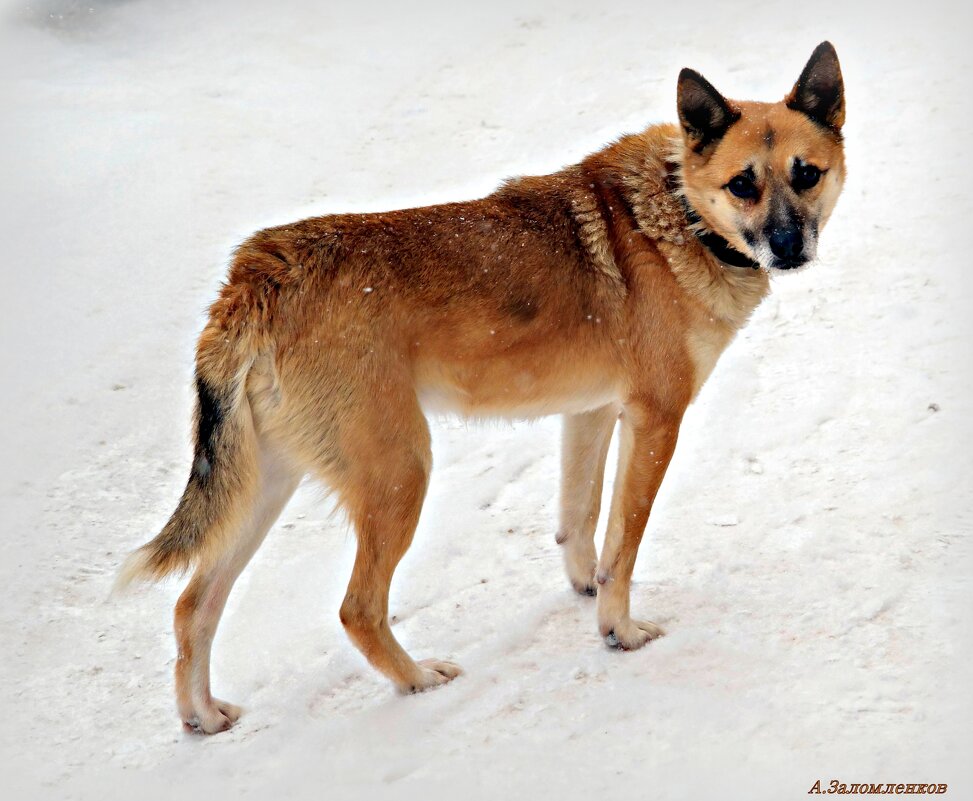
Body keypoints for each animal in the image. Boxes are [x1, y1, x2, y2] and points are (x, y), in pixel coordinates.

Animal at [116, 42, 844, 732]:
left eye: (805, 174)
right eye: (742, 184)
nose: (789, 247)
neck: (678, 213)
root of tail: (257, 272)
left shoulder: (591, 413)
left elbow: (580, 523)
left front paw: (585, 590)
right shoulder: (654, 419)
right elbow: (623, 543)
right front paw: (620, 631)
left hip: (267, 484)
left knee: (192, 605)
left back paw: (203, 716)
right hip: (400, 473)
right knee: (356, 609)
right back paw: (418, 679)